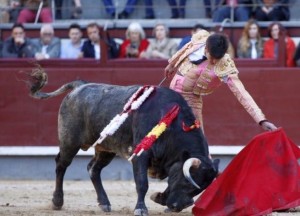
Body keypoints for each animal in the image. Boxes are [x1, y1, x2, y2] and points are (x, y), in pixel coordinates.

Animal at [28, 66, 219, 215]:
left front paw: (159, 198)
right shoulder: (140, 155)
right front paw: (141, 209)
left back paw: (104, 203)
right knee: (61, 165)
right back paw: (57, 201)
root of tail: (80, 86)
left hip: (106, 148)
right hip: (69, 141)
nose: (177, 206)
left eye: (198, 190)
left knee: (93, 169)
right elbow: (142, 183)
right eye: (187, 181)